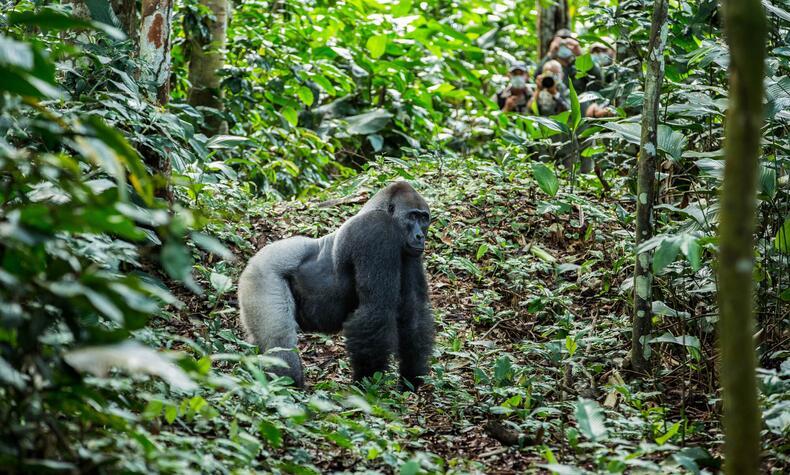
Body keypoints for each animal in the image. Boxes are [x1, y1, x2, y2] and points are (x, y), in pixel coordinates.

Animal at [238, 181, 434, 389]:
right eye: (412, 216)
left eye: (424, 218)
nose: (420, 236)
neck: (378, 209)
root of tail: (253, 260)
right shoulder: (376, 231)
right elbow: (376, 310)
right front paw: (367, 384)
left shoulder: (409, 252)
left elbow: (413, 311)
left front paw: (412, 377)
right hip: (261, 275)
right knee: (280, 340)